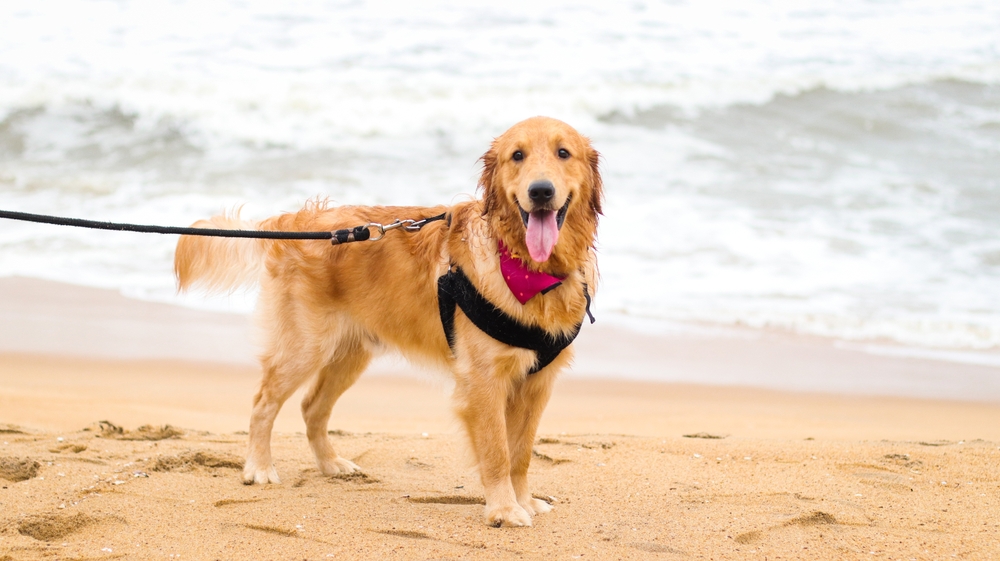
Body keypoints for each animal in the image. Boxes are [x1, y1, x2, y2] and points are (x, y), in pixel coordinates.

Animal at [172, 116, 600, 528]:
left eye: (563, 153)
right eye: (517, 156)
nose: (541, 191)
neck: (530, 270)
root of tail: (299, 218)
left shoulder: (537, 384)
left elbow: (521, 453)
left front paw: (524, 501)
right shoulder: (483, 382)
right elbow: (497, 451)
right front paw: (504, 510)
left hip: (350, 353)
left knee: (312, 407)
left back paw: (331, 464)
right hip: (305, 347)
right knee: (264, 402)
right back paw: (259, 467)